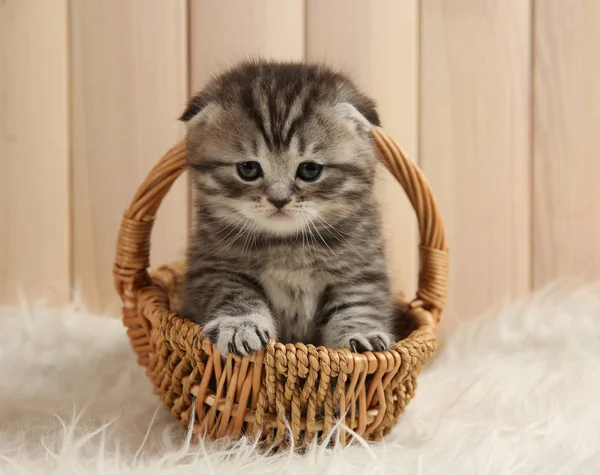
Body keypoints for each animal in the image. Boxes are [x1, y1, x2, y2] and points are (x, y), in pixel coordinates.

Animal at [180, 60, 396, 356]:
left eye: (310, 170)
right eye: (248, 169)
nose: (279, 199)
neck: (287, 244)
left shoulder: (361, 269)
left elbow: (356, 304)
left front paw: (361, 335)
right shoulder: (214, 267)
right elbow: (235, 295)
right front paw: (239, 325)